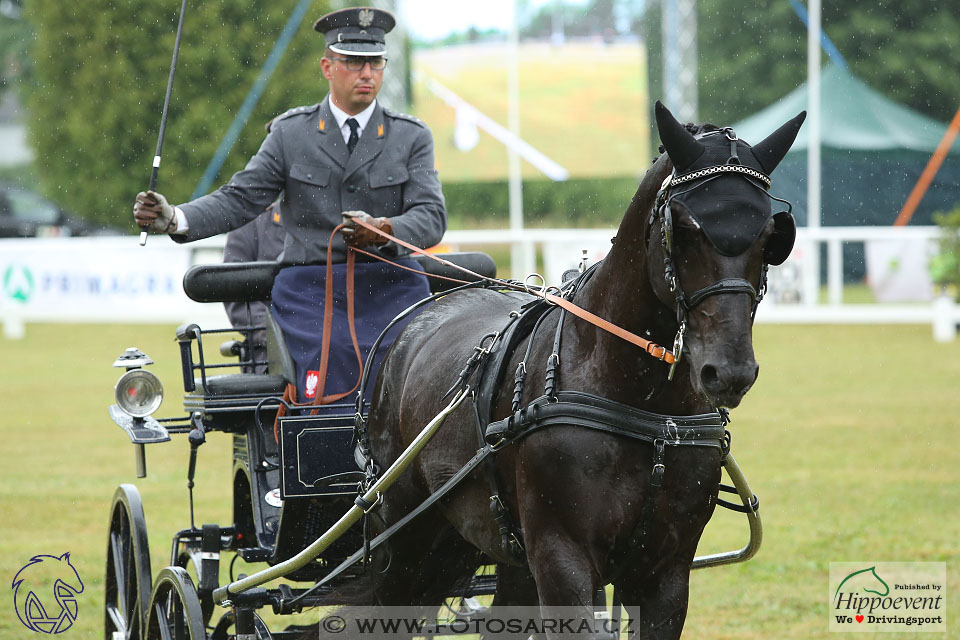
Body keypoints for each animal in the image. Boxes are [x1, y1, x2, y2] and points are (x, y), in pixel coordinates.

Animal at [344, 102, 804, 636]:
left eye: (771, 237)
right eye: (683, 230)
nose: (729, 371)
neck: (644, 408)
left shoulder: (664, 574)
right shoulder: (561, 559)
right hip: (407, 541)